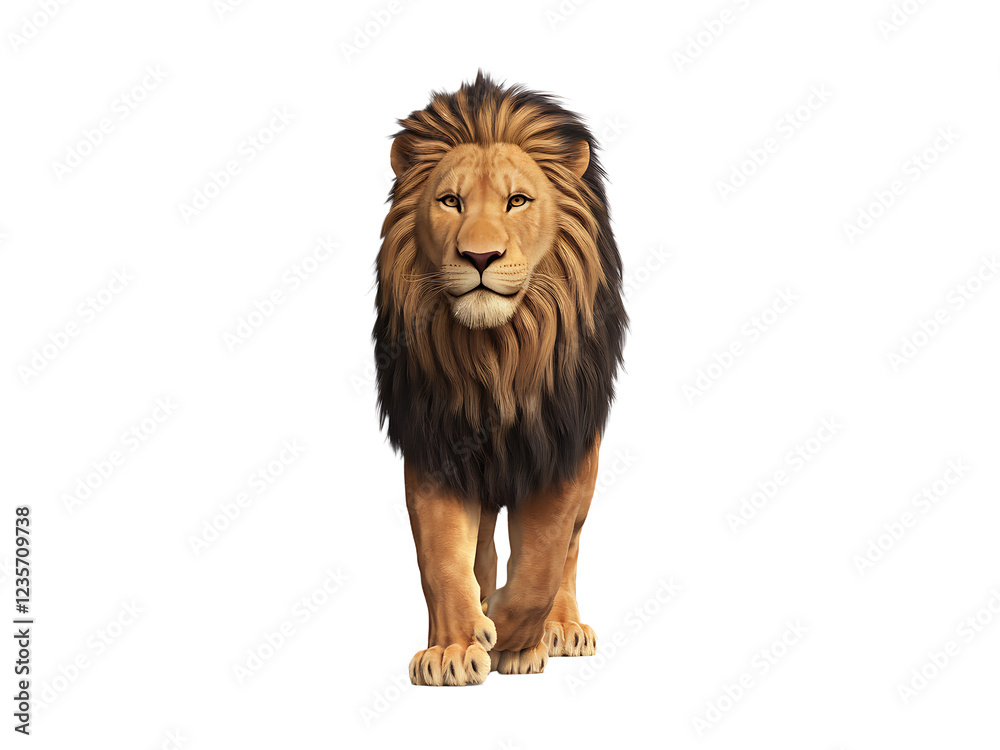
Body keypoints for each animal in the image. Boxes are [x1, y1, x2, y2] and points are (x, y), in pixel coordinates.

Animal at [373, 72, 627, 685]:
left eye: (517, 201)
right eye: (450, 201)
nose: (480, 256)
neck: (494, 355)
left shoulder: (560, 444)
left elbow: (542, 564)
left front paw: (512, 635)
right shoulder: (434, 440)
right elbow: (443, 556)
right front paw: (454, 647)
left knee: (570, 550)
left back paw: (558, 630)